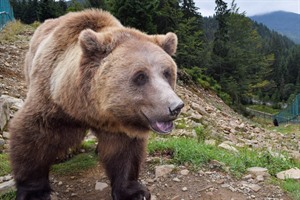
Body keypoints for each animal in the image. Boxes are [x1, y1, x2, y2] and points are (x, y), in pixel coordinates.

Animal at [8, 8, 183, 199]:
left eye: (167, 73)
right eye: (140, 76)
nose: (175, 107)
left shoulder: (119, 123)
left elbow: (124, 151)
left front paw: (133, 191)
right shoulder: (50, 100)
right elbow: (33, 137)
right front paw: (34, 191)